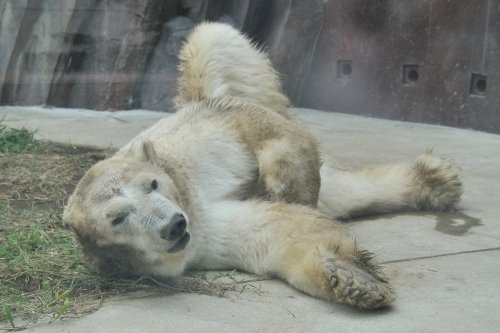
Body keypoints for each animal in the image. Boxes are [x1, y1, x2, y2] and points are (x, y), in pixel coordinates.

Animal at [63, 22, 464, 308]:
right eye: (119, 217)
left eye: (153, 184)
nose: (174, 224)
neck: (187, 190)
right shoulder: (202, 237)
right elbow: (268, 232)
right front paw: (351, 281)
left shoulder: (205, 134)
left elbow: (264, 132)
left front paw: (281, 184)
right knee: (346, 193)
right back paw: (434, 181)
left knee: (211, 36)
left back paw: (437, 180)